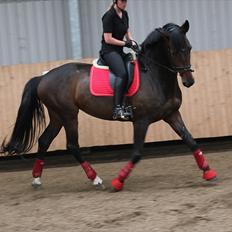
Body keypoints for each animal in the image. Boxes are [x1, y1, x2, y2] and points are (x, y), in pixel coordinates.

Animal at [0, 20, 217, 190]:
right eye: (172, 51)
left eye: (189, 48)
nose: (189, 81)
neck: (155, 75)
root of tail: (43, 77)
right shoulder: (141, 121)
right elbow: (137, 153)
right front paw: (118, 181)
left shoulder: (171, 114)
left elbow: (191, 140)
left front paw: (208, 171)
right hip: (69, 114)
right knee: (72, 145)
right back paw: (96, 179)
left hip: (57, 115)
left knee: (44, 140)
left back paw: (37, 179)